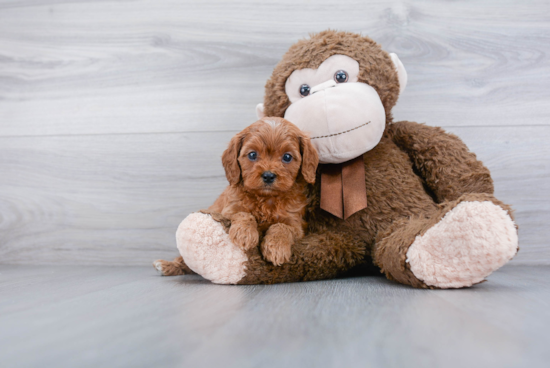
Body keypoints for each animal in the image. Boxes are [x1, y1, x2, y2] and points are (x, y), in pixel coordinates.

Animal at [154, 116, 320, 274]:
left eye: (287, 157)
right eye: (252, 154)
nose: (268, 176)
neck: (266, 199)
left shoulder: (297, 225)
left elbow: (282, 226)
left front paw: (276, 248)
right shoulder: (229, 210)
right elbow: (243, 214)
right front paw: (244, 234)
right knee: (185, 263)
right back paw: (168, 266)